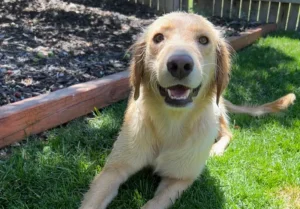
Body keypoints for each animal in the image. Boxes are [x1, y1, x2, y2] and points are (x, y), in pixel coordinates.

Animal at [79, 11, 296, 209]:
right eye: (158, 38)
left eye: (203, 40)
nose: (180, 64)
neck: (171, 123)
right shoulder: (113, 170)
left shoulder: (179, 179)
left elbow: (154, 203)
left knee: (229, 133)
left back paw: (216, 149)